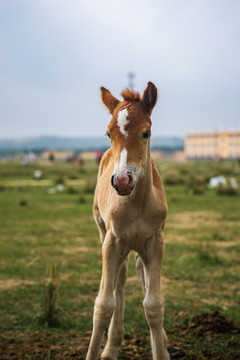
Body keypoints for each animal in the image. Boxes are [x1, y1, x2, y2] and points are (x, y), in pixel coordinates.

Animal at [85, 82, 170, 360]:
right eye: (108, 134)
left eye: (146, 133)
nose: (122, 181)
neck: (136, 203)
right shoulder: (112, 242)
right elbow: (103, 304)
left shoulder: (156, 241)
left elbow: (154, 305)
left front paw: (161, 349)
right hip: (106, 234)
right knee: (119, 281)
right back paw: (111, 345)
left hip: (140, 246)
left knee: (140, 273)